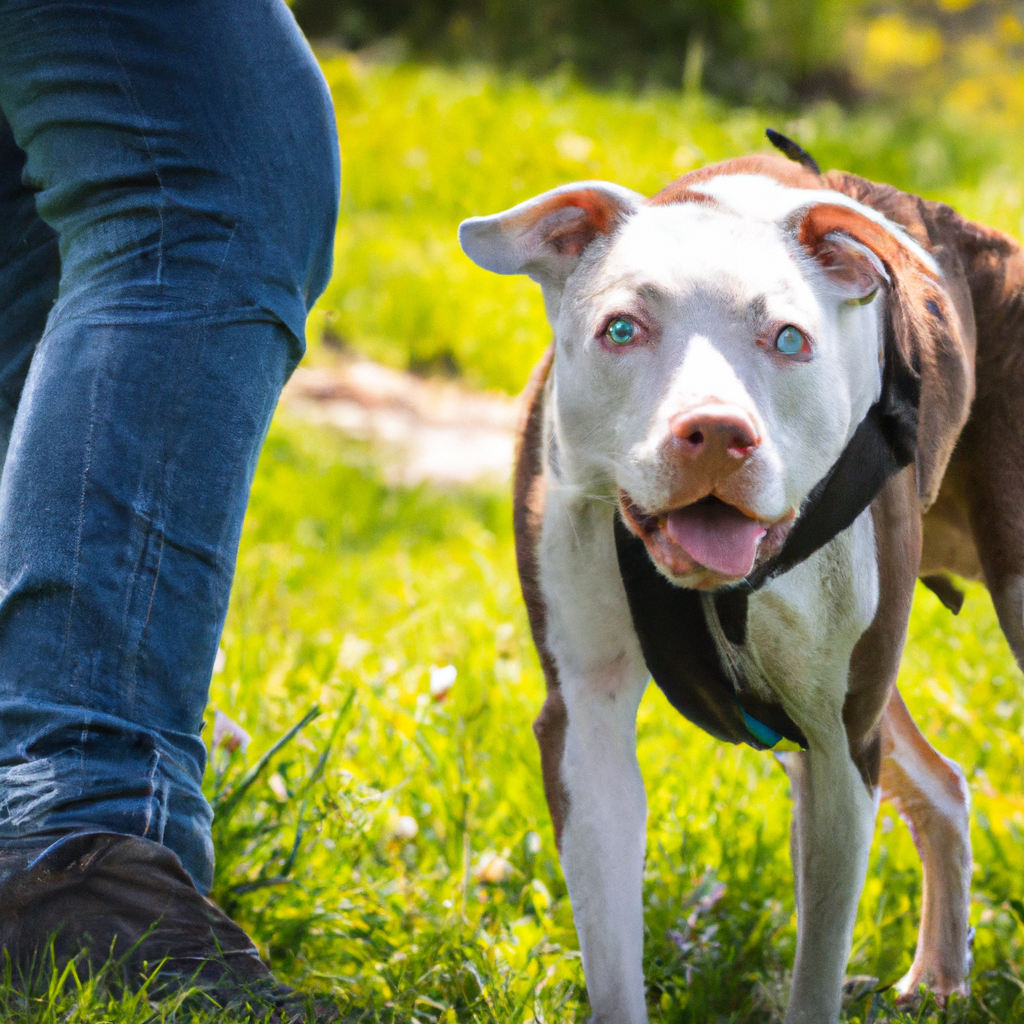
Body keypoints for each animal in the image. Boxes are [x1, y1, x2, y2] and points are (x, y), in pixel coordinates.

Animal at [458, 138, 1024, 1024]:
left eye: (789, 340)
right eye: (622, 329)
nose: (718, 433)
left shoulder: (837, 741)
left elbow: (818, 969)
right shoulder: (587, 719)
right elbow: (612, 955)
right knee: (942, 784)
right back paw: (939, 979)